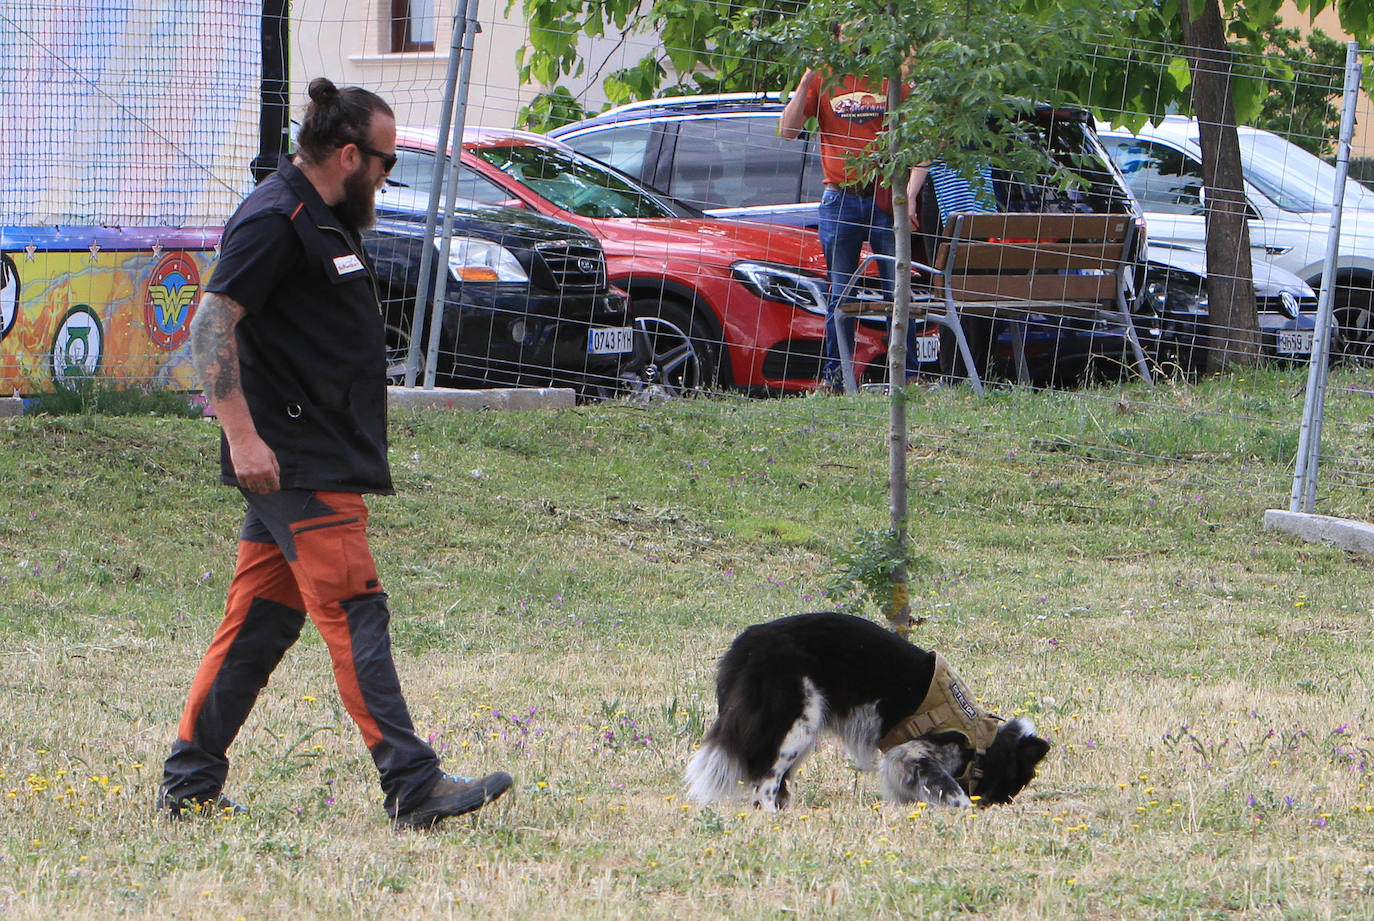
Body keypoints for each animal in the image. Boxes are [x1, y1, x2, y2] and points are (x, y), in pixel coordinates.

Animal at [687, 615, 1049, 813]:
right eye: (1013, 784)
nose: (998, 805)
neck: (980, 739)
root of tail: (746, 645)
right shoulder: (913, 752)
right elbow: (954, 793)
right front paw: (963, 810)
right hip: (795, 724)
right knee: (765, 781)